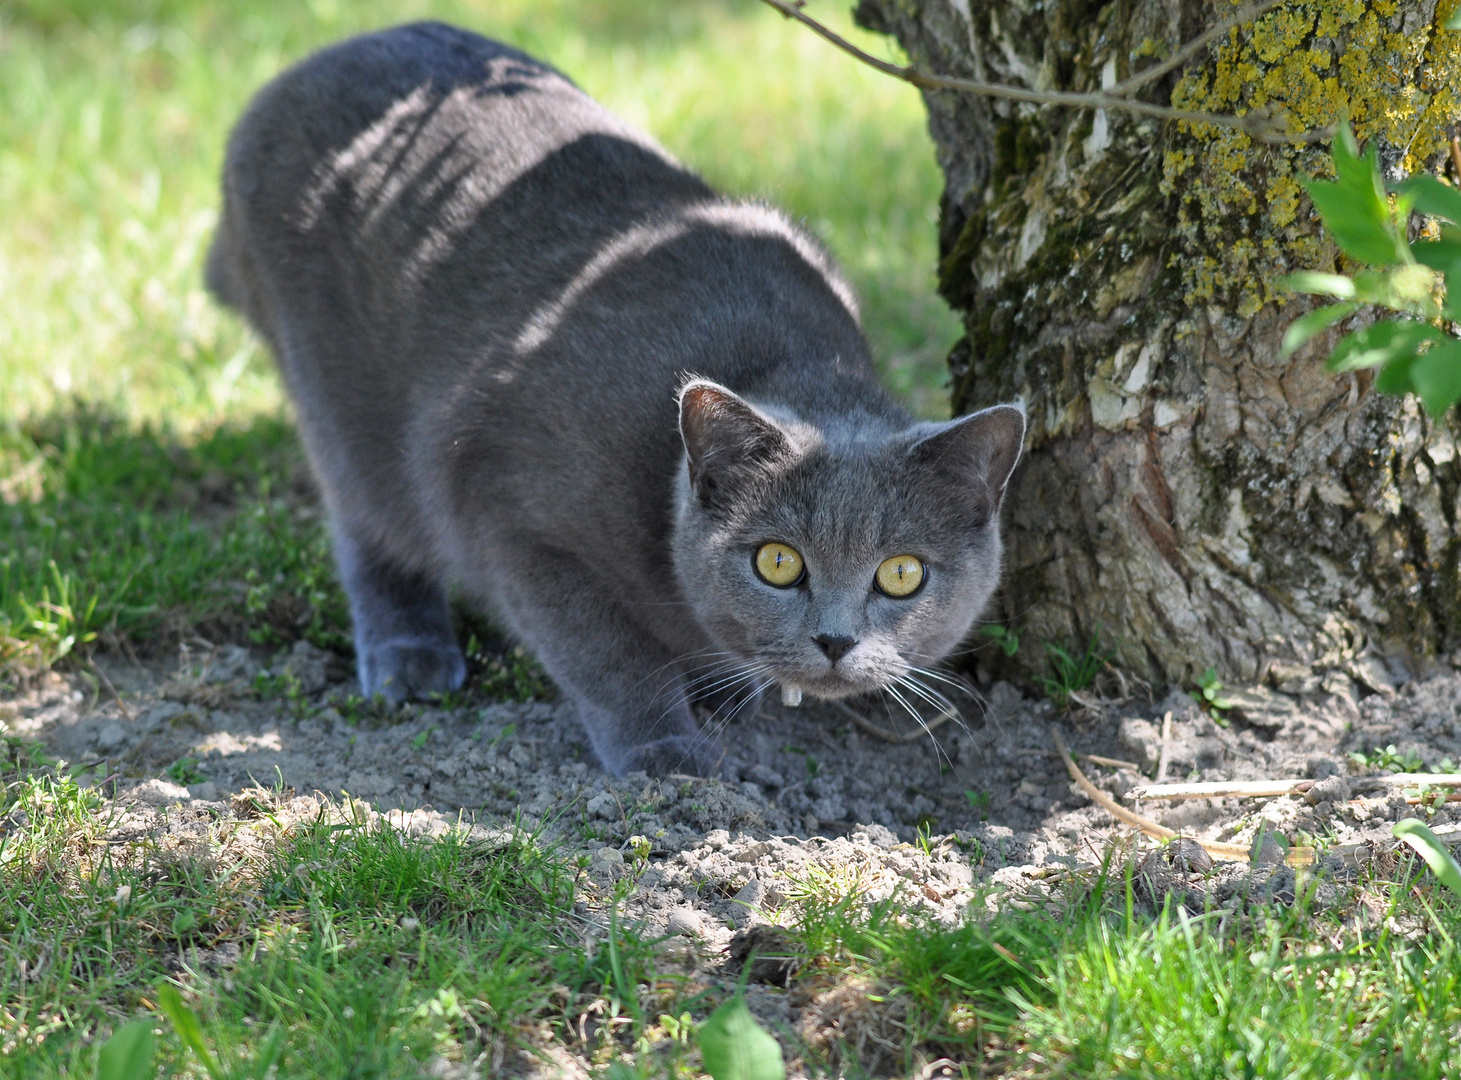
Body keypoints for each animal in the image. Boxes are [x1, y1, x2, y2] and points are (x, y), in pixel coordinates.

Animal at [208, 23, 1028, 777]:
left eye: (902, 573)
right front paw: (665, 748)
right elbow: (606, 648)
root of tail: (301, 70)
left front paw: (722, 690)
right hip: (335, 389)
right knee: (365, 520)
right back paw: (408, 653)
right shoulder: (507, 507)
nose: (834, 639)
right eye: (777, 562)